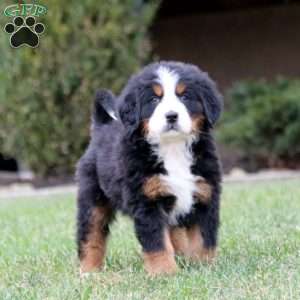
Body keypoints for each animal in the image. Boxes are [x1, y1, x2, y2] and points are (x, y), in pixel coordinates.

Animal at [77, 61, 223, 276]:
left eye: (184, 97)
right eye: (154, 99)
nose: (171, 116)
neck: (173, 148)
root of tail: (101, 127)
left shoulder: (204, 194)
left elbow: (203, 240)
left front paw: (203, 267)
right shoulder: (147, 201)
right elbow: (157, 242)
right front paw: (165, 272)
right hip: (93, 199)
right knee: (90, 234)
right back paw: (89, 271)